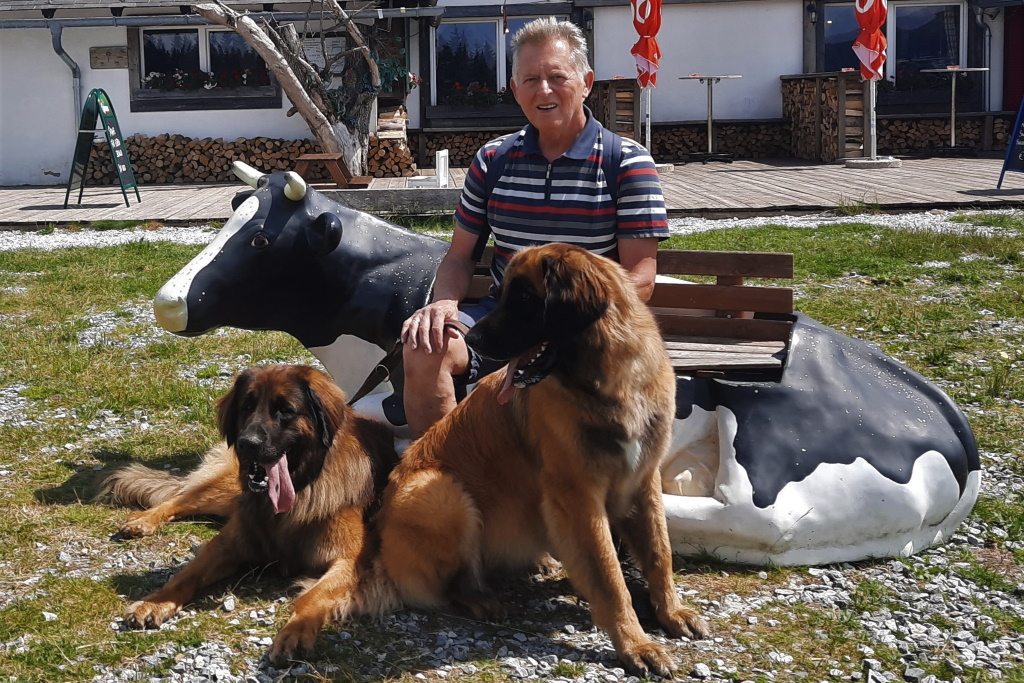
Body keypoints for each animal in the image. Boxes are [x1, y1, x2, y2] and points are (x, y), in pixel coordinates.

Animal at [98, 366, 395, 663]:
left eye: (285, 410)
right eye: (247, 407)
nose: (247, 444)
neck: (302, 488)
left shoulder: (350, 561)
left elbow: (311, 597)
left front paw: (295, 632)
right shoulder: (226, 545)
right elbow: (185, 575)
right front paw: (154, 602)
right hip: (227, 489)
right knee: (181, 497)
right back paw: (143, 520)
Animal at [344, 244, 704, 679]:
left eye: (525, 299)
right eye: (502, 296)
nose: (471, 339)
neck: (609, 384)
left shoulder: (643, 480)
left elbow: (658, 553)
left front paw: (670, 611)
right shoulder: (579, 499)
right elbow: (609, 576)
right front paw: (636, 643)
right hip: (442, 492)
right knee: (448, 583)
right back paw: (479, 598)